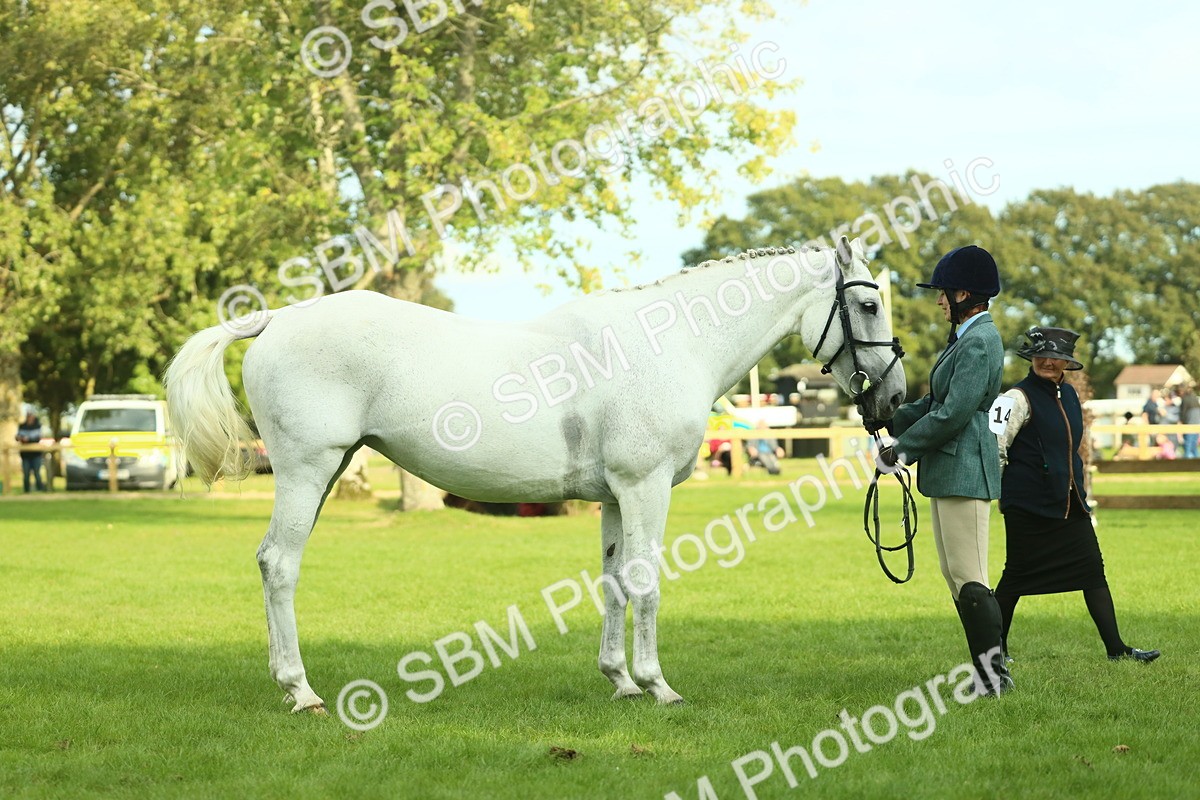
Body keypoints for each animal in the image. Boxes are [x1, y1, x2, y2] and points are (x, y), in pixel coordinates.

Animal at [164, 235, 906, 713]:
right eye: (869, 305)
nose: (896, 397)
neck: (669, 344)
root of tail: (274, 320)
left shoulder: (614, 498)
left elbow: (613, 584)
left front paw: (620, 681)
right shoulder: (645, 488)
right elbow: (647, 584)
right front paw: (658, 686)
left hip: (327, 469)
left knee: (270, 563)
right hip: (306, 470)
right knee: (280, 564)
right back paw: (302, 691)